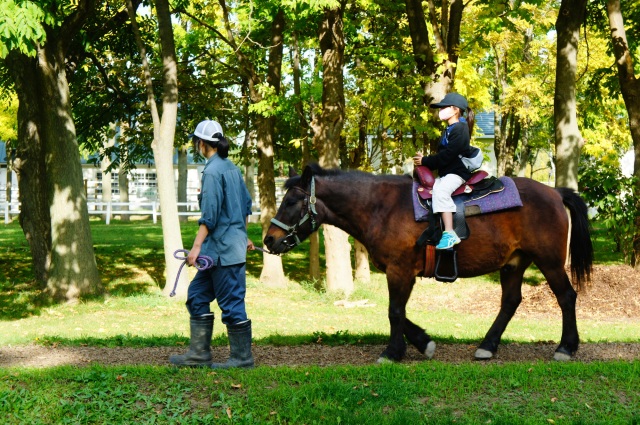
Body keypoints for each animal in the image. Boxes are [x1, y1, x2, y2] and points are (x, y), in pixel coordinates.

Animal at [262, 164, 592, 362]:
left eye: (290, 202)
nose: (268, 240)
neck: (381, 207)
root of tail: (554, 192)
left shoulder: (400, 271)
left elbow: (394, 312)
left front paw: (393, 352)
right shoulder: (400, 272)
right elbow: (400, 313)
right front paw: (423, 342)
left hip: (549, 262)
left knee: (566, 297)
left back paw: (566, 347)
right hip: (514, 263)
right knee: (510, 302)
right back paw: (488, 345)